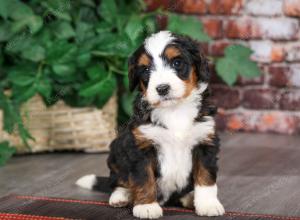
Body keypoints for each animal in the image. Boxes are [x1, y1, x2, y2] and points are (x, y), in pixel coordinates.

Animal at [76, 30, 224, 218]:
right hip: (116, 152)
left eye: (177, 63)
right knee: (118, 180)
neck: (174, 111)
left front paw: (208, 204)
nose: (162, 88)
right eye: (145, 69)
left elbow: (206, 177)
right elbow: (143, 178)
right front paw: (146, 206)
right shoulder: (141, 146)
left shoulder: (205, 141)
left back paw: (190, 198)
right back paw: (121, 196)